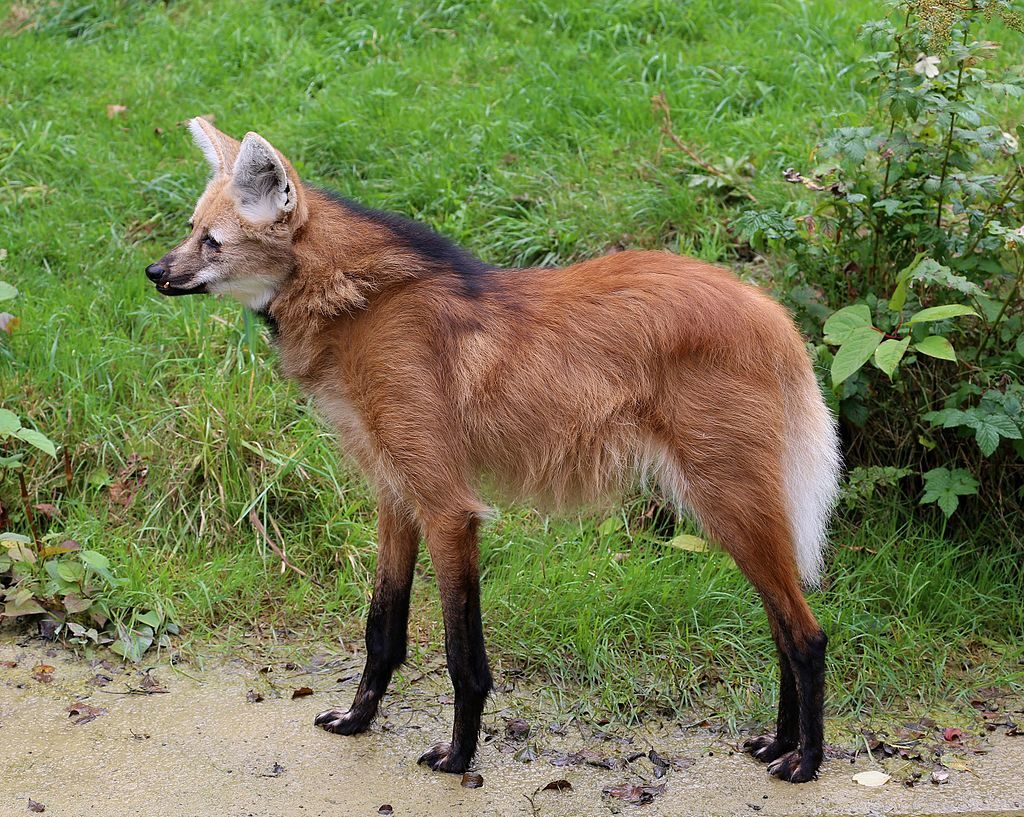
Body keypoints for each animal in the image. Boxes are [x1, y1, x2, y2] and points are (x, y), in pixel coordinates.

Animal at [145, 117, 841, 782]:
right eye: (191, 229)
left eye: (213, 241)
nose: (154, 271)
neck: (359, 303)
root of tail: (771, 311)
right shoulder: (396, 496)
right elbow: (382, 628)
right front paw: (357, 720)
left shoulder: (447, 507)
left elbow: (462, 654)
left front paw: (457, 758)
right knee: (781, 625)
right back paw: (777, 742)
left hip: (726, 496)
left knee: (805, 633)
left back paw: (803, 761)